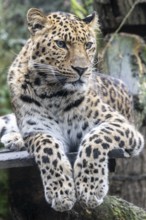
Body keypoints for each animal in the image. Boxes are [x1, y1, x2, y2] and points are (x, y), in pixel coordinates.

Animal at [0, 8, 144, 211]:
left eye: (88, 45)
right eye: (61, 44)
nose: (81, 69)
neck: (54, 93)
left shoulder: (119, 124)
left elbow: (96, 140)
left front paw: (91, 188)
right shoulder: (37, 130)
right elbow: (47, 150)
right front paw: (61, 193)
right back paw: (14, 139)